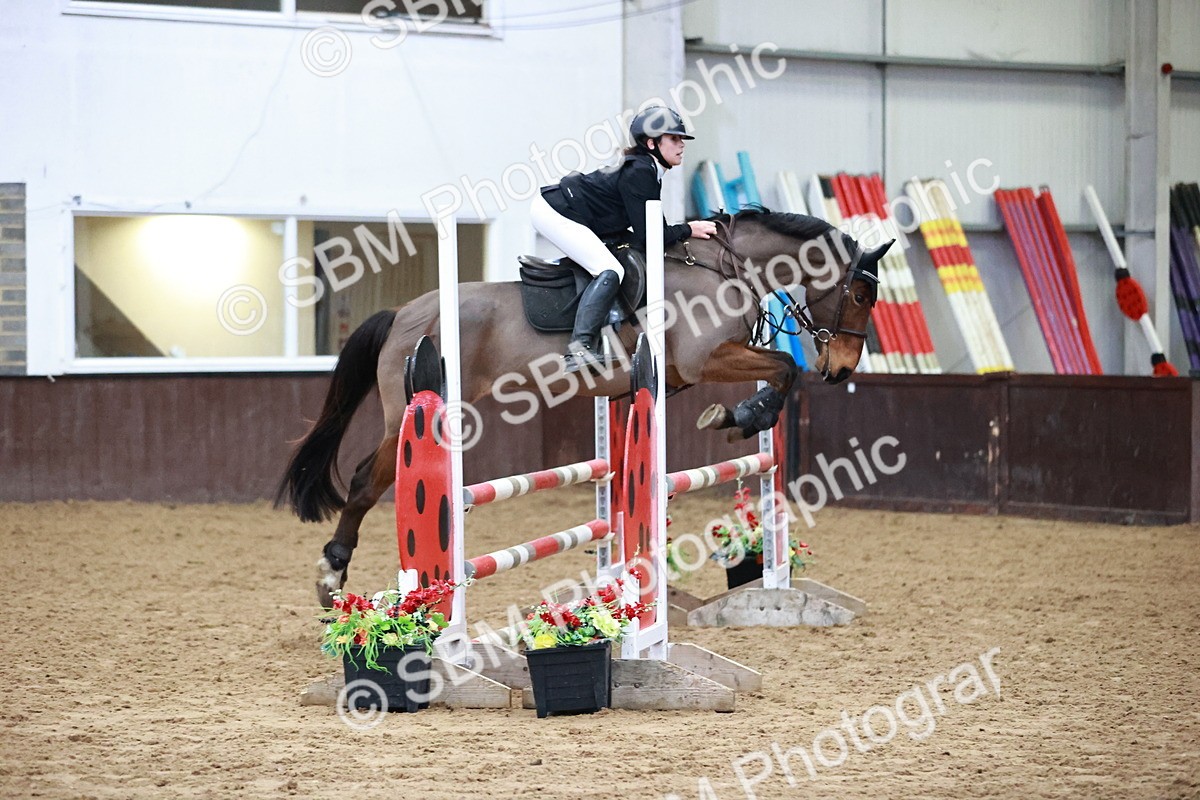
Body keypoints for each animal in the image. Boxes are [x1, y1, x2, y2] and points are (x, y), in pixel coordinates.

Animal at [276, 208, 890, 605]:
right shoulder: (706, 360)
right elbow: (785, 368)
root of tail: (406, 312)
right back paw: (332, 576)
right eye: (861, 294)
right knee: (364, 481)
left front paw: (739, 416)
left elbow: (781, 370)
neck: (725, 269)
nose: (841, 370)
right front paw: (741, 418)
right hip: (416, 412)